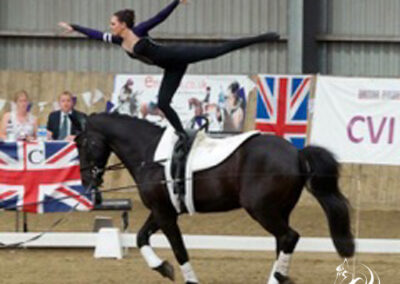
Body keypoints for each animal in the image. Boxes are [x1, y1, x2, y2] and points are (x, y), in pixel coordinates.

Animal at [75, 113, 354, 284]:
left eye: (83, 143)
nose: (87, 182)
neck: (151, 154)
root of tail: (296, 153)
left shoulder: (165, 214)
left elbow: (179, 250)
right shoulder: (162, 210)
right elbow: (141, 237)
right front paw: (163, 268)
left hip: (262, 210)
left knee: (289, 237)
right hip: (279, 210)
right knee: (282, 242)